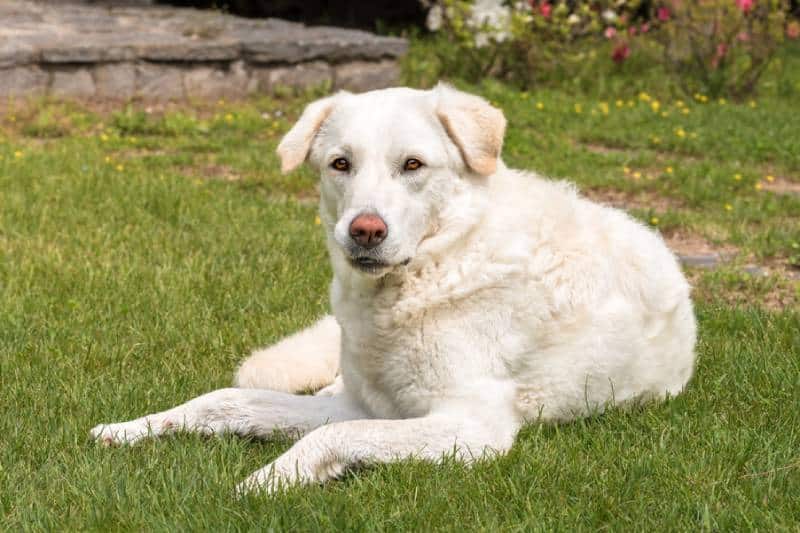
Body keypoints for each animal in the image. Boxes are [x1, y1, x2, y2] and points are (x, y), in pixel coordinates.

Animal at [90, 83, 696, 490]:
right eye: (340, 164)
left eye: (412, 165)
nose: (364, 230)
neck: (432, 269)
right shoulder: (360, 405)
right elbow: (223, 401)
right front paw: (133, 428)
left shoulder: (469, 426)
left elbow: (326, 439)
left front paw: (263, 483)